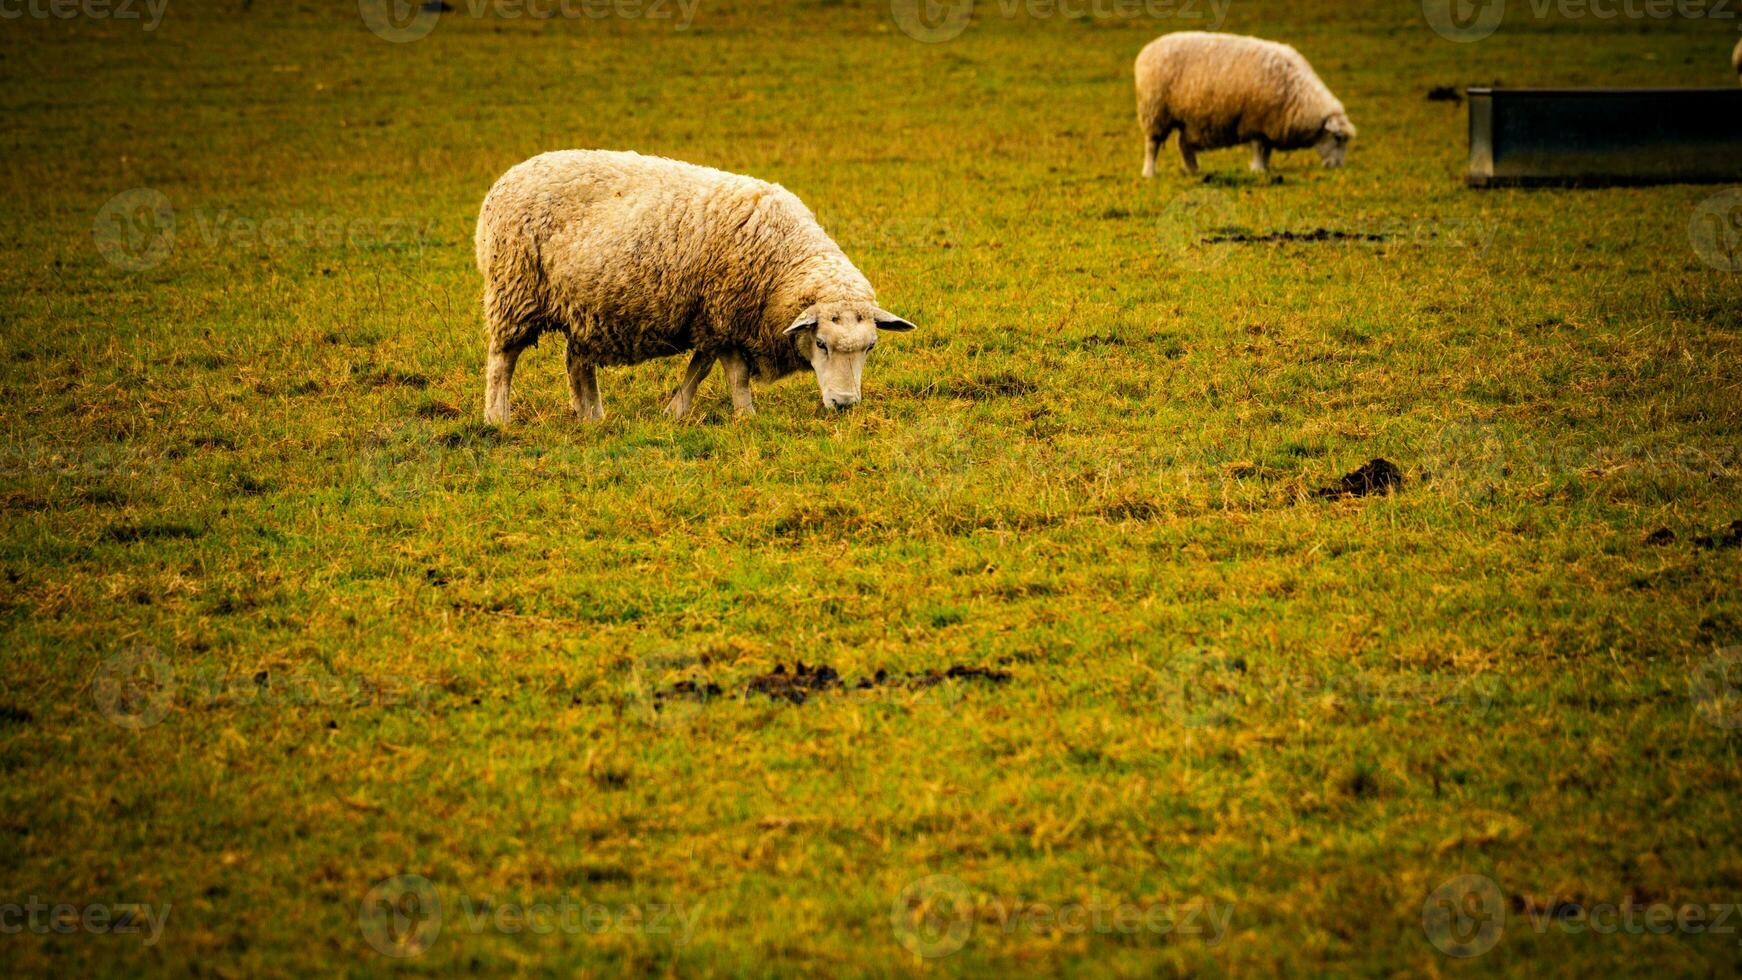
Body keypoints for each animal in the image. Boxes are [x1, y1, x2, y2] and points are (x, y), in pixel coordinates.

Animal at [470, 147, 919, 422]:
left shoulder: (710, 318)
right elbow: (734, 374)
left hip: (585, 306)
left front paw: (675, 410)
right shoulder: (724, 315)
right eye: (821, 343)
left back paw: (592, 417)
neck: (783, 260)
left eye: (870, 347)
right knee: (502, 360)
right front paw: (745, 415)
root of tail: (506, 179)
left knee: (577, 362)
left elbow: (699, 368)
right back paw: (498, 418)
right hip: (515, 289)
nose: (844, 404)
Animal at [1128, 30, 1358, 175]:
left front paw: (1265, 168)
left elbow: (1267, 149)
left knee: (1183, 144)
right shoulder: (1255, 120)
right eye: (1338, 138)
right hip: (1155, 111)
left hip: (1188, 118)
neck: (1299, 96)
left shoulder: (1269, 123)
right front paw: (1258, 170)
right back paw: (1149, 173)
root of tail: (1147, 50)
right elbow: (1259, 147)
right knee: (1152, 144)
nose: (1337, 167)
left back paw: (1194, 171)